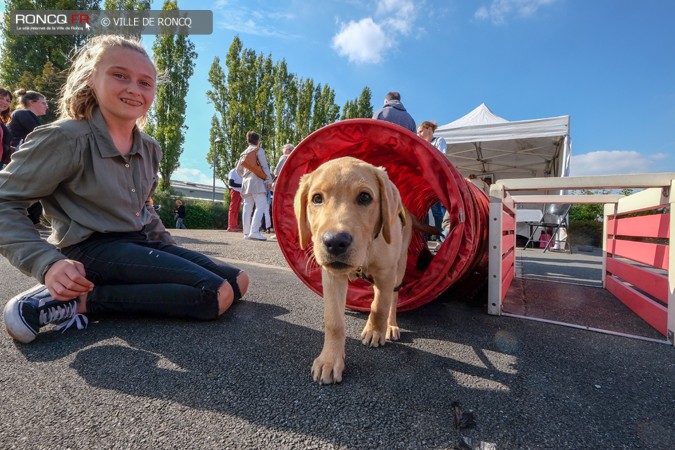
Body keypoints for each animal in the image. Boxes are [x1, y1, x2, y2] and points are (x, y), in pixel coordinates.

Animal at [294, 156, 436, 384]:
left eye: (364, 197)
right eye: (316, 198)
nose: (335, 242)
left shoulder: (386, 273)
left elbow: (380, 306)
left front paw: (374, 331)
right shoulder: (332, 276)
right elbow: (334, 321)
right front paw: (329, 360)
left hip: (400, 265)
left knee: (393, 298)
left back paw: (390, 325)